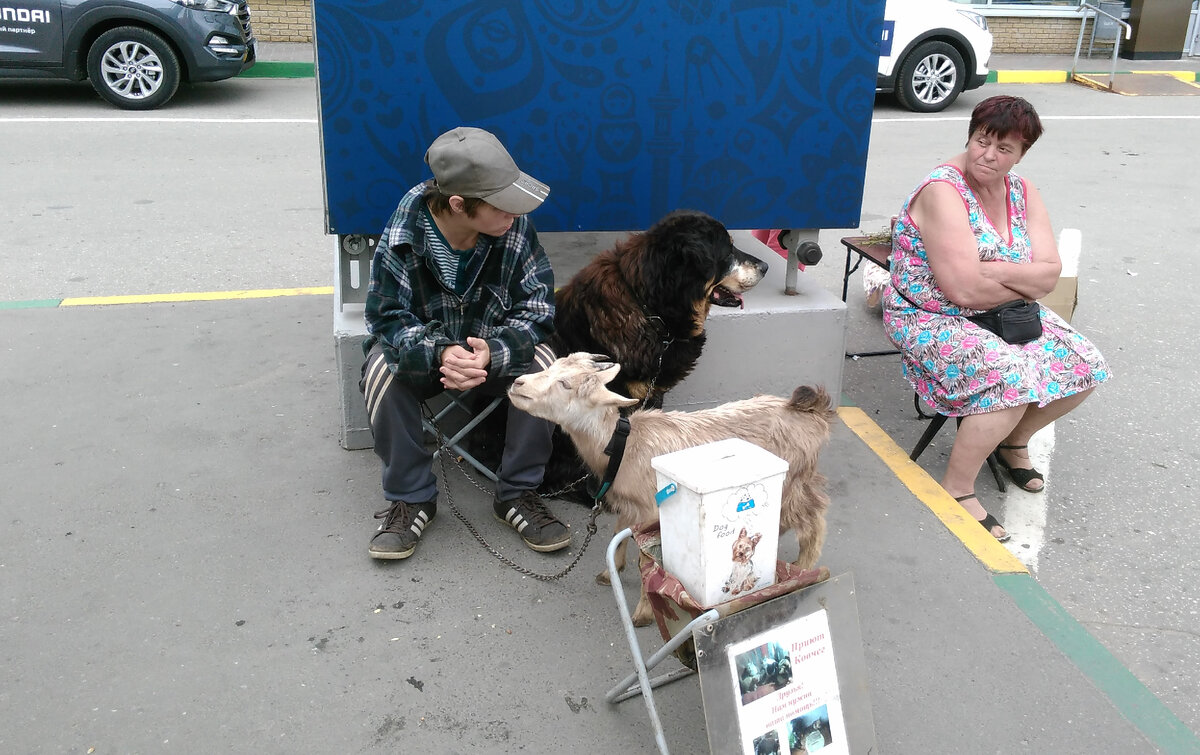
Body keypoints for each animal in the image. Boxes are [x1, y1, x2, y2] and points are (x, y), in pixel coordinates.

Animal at [506, 352, 835, 624]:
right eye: (553, 366)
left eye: (565, 384)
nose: (517, 383)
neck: (625, 446)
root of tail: (809, 411)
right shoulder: (633, 507)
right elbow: (618, 534)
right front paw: (609, 572)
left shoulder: (654, 511)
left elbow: (648, 561)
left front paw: (643, 613)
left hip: (794, 483)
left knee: (814, 521)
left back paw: (802, 567)